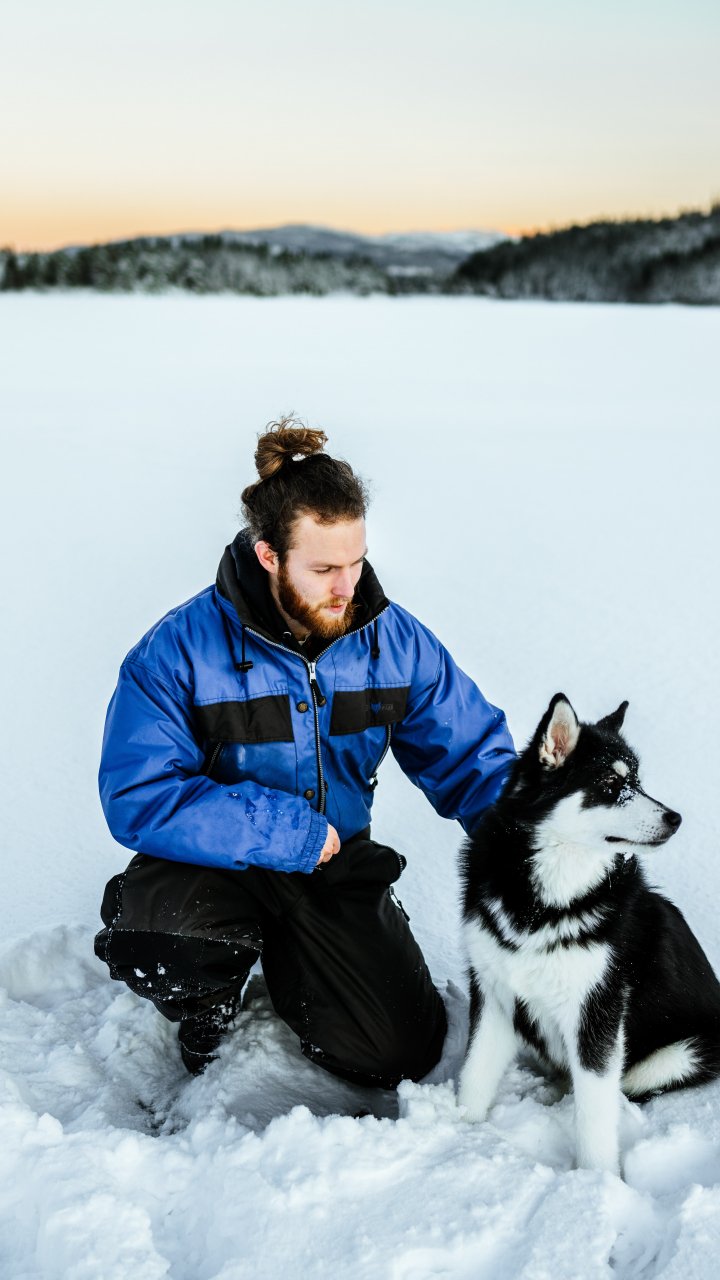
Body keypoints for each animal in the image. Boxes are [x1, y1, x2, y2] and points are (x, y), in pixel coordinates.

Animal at [458, 693, 720, 1174]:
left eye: (637, 780)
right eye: (611, 783)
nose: (675, 818)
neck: (545, 899)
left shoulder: (597, 1011)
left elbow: (595, 1115)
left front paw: (597, 1182)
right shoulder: (494, 993)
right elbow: (473, 1078)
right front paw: (457, 1137)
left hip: (681, 1053)